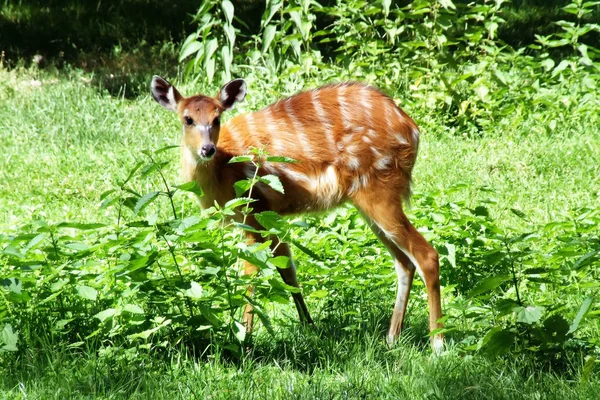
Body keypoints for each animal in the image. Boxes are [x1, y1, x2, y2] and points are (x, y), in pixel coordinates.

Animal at [149, 75, 442, 350]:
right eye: (187, 119)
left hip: (380, 189)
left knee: (426, 255)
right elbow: (288, 271)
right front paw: (309, 327)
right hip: (367, 204)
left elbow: (251, 274)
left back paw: (437, 344)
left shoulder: (253, 211)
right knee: (404, 263)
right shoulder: (271, 219)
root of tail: (412, 129)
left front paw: (244, 338)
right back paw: (391, 338)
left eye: (216, 118)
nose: (207, 149)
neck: (223, 169)